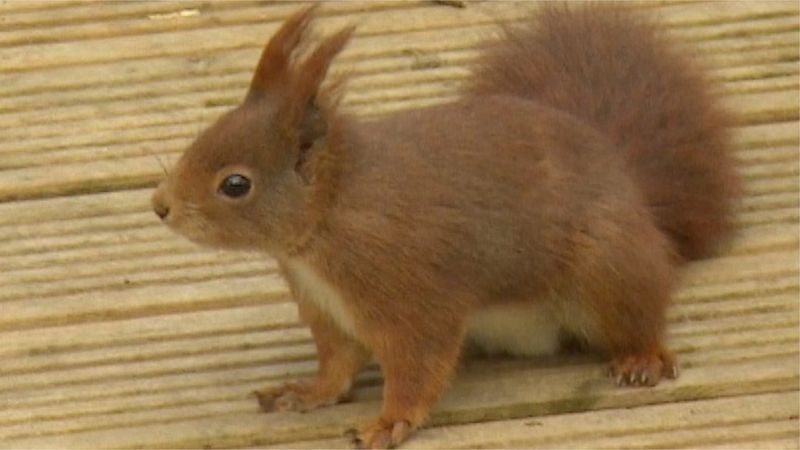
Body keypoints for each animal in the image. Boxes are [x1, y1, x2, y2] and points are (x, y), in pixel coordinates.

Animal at [153, 4, 740, 450]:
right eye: (204, 133)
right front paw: (307, 391)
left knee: (641, 314)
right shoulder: (328, 309)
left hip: (607, 269)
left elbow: (418, 365)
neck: (329, 218)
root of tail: (632, 189)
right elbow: (339, 363)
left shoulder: (409, 294)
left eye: (235, 184)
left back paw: (643, 357)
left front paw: (390, 421)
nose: (161, 206)